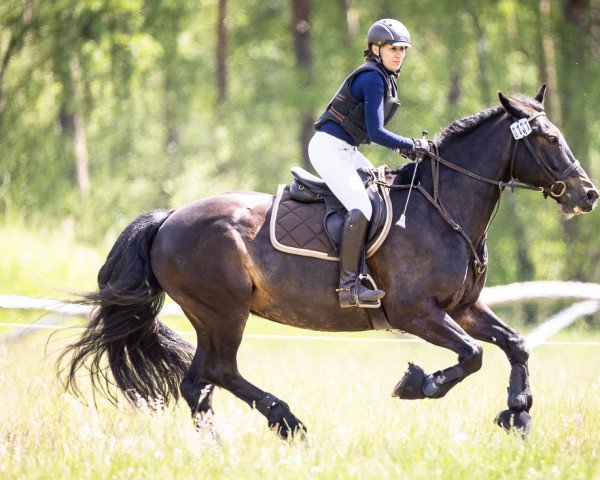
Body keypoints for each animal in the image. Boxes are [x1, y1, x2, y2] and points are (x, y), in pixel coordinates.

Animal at [58, 85, 596, 438]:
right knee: (217, 373)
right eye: (548, 138)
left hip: (212, 316)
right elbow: (472, 356)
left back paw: (226, 442)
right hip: (224, 311)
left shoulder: (461, 308)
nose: (587, 194)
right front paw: (416, 384)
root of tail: (169, 218)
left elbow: (515, 345)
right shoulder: (415, 312)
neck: (444, 209)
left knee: (200, 382)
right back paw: (286, 420)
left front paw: (518, 414)